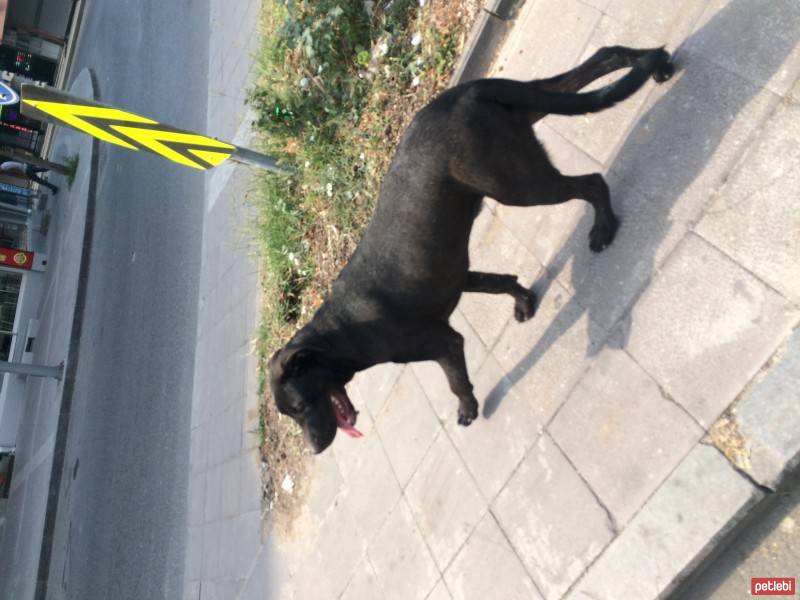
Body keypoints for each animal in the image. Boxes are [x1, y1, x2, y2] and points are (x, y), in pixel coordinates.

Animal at [270, 44, 676, 452]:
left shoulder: (445, 344)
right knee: (601, 58)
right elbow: (500, 281)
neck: (339, 333)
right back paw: (654, 63)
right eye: (290, 414)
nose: (315, 448)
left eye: (301, 406)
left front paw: (468, 409)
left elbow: (456, 382)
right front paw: (524, 301)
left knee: (591, 182)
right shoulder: (460, 275)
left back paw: (603, 227)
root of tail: (465, 93)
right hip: (532, 109)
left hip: (519, 185)